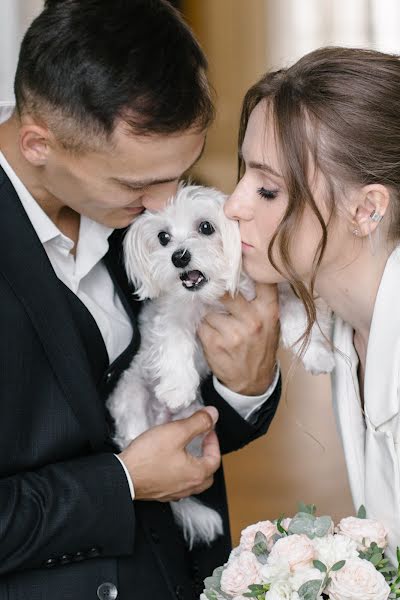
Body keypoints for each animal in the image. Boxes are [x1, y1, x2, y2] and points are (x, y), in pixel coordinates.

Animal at [107, 184, 334, 548]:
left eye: (205, 227)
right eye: (163, 237)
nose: (179, 257)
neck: (210, 297)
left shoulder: (275, 295)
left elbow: (299, 317)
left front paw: (317, 355)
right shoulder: (172, 314)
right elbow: (175, 341)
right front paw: (176, 388)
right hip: (131, 402)